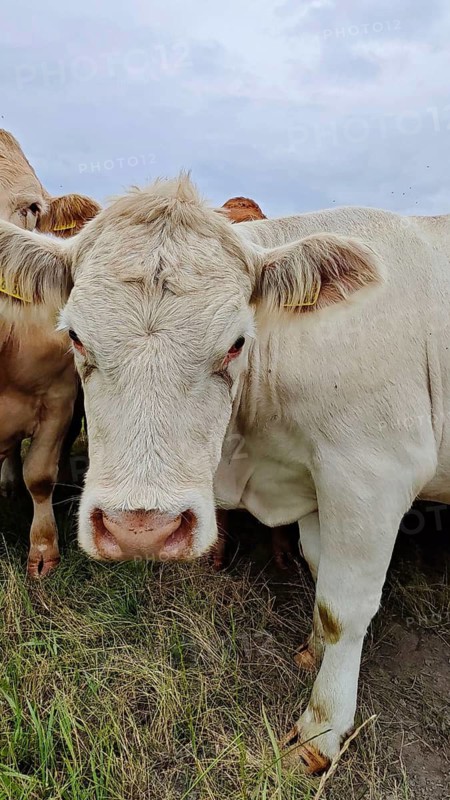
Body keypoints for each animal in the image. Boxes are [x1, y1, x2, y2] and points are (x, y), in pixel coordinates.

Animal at [0, 174, 448, 773]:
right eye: (73, 335)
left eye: (236, 343)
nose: (140, 528)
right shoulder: (314, 479)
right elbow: (318, 573)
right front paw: (311, 651)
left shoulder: (372, 475)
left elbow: (343, 607)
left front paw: (320, 732)